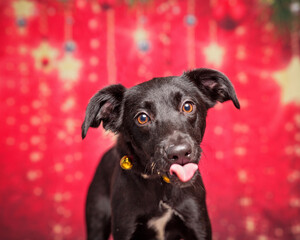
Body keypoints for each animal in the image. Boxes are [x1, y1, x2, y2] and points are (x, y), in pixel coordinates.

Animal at [81, 68, 240, 240]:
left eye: (188, 106)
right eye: (142, 118)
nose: (180, 153)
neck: (161, 188)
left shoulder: (198, 224)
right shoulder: (124, 228)